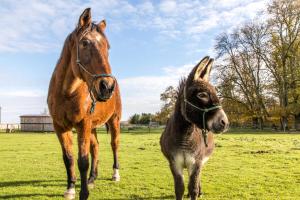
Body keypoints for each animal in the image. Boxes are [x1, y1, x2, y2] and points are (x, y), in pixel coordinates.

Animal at [47, 7, 121, 200]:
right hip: (93, 127)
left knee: (114, 145)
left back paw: (115, 174)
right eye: (85, 43)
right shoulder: (60, 127)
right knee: (96, 147)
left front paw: (84, 193)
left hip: (114, 121)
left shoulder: (83, 125)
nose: (107, 86)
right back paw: (92, 178)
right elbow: (69, 158)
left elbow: (83, 160)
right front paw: (71, 188)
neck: (67, 93)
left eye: (108, 47)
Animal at [161, 56, 229, 200]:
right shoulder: (174, 163)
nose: (225, 122)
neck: (185, 135)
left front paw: (196, 192)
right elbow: (179, 189)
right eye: (202, 95)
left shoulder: (196, 162)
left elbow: (193, 188)